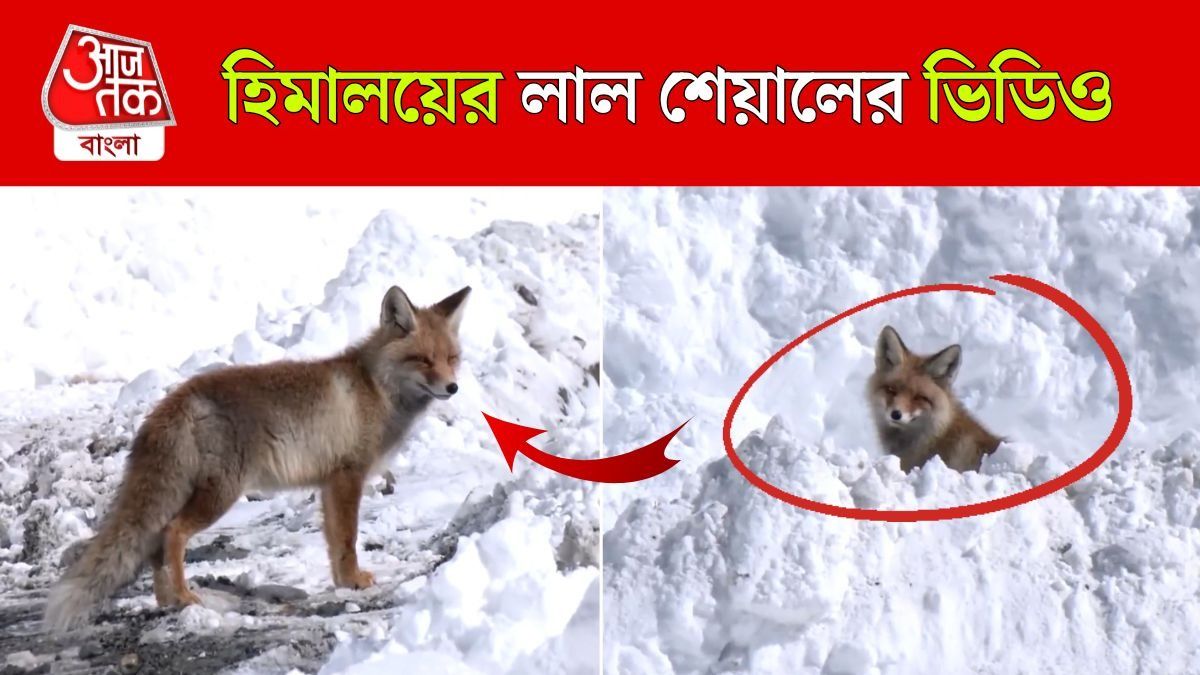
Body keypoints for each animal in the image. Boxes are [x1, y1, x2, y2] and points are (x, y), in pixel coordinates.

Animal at [43, 284, 470, 631]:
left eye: (452, 358)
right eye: (423, 359)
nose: (453, 387)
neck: (375, 387)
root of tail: (175, 399)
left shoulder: (329, 483)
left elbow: (334, 543)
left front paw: (341, 583)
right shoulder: (348, 476)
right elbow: (348, 539)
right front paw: (353, 581)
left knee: (154, 547)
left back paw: (167, 601)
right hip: (220, 495)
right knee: (172, 534)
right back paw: (183, 597)